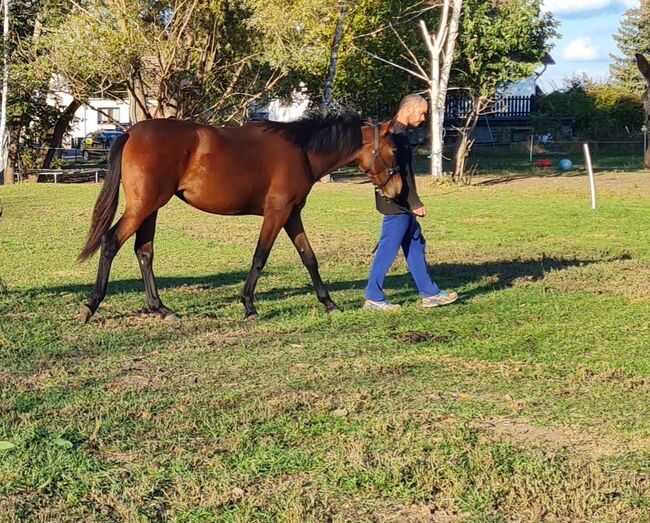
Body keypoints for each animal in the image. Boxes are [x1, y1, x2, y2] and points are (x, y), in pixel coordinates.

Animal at [77, 112, 400, 322]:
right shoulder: (277, 213)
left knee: (144, 252)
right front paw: (249, 306)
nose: (396, 191)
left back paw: (161, 308)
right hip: (143, 206)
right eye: (395, 150)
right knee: (111, 241)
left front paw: (329, 303)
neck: (302, 151)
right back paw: (91, 305)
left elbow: (309, 257)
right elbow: (260, 257)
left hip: (150, 208)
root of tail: (131, 132)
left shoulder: (292, 214)